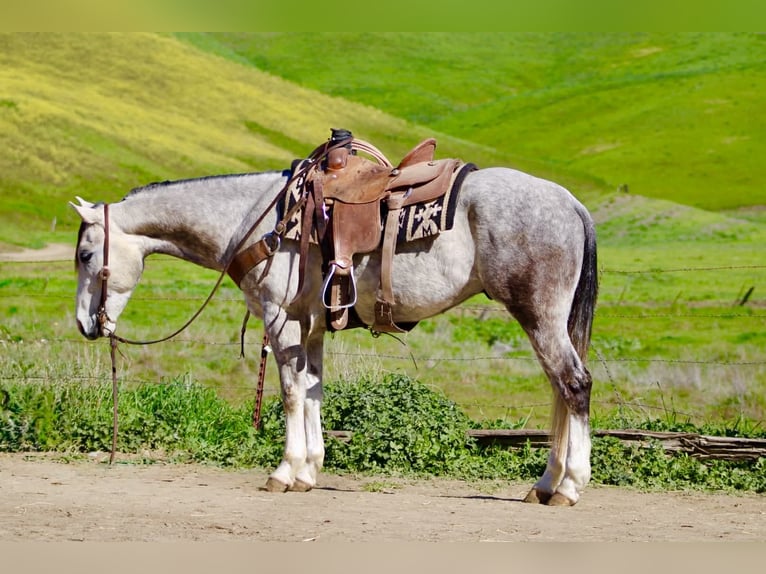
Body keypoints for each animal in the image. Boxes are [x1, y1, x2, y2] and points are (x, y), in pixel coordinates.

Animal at [71, 140, 598, 506]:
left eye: (84, 254)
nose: (84, 324)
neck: (258, 219)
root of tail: (570, 202)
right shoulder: (312, 325)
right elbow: (312, 391)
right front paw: (308, 471)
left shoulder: (280, 319)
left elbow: (289, 393)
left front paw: (284, 472)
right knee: (559, 389)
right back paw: (545, 485)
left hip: (539, 316)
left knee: (574, 385)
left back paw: (569, 486)